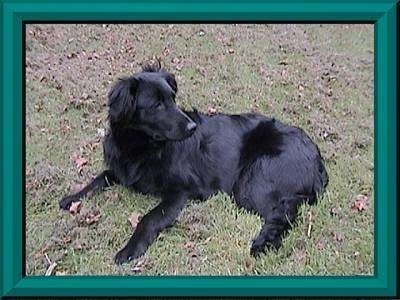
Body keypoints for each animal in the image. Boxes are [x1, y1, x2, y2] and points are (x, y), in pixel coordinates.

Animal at [59, 63, 328, 264]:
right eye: (157, 104)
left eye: (172, 99)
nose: (191, 127)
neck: (143, 148)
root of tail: (317, 158)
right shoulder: (122, 169)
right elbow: (100, 178)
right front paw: (72, 198)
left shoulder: (181, 190)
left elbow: (150, 218)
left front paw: (130, 249)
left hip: (251, 184)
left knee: (285, 213)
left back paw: (263, 244)